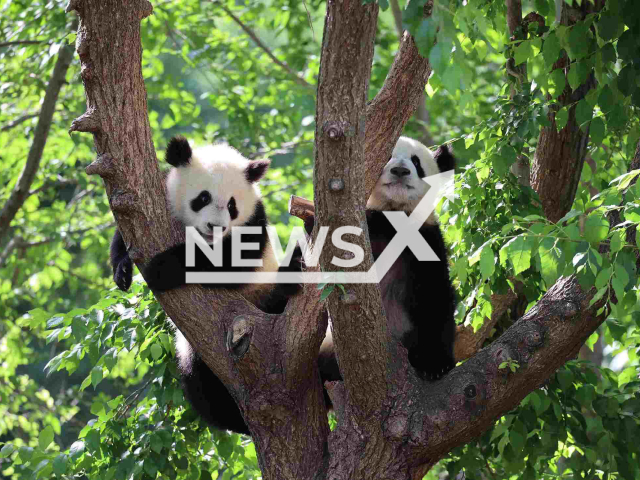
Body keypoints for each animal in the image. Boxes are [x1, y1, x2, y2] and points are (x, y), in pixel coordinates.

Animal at [110, 136, 302, 436]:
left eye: (232, 205)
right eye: (203, 198)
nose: (216, 226)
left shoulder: (253, 224)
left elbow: (226, 263)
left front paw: (162, 268)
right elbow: (127, 229)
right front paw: (122, 269)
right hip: (191, 349)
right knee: (200, 385)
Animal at [318, 135, 458, 386]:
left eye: (416, 162)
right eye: (387, 156)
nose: (400, 170)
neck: (393, 216)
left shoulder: (426, 242)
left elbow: (435, 298)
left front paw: (436, 365)